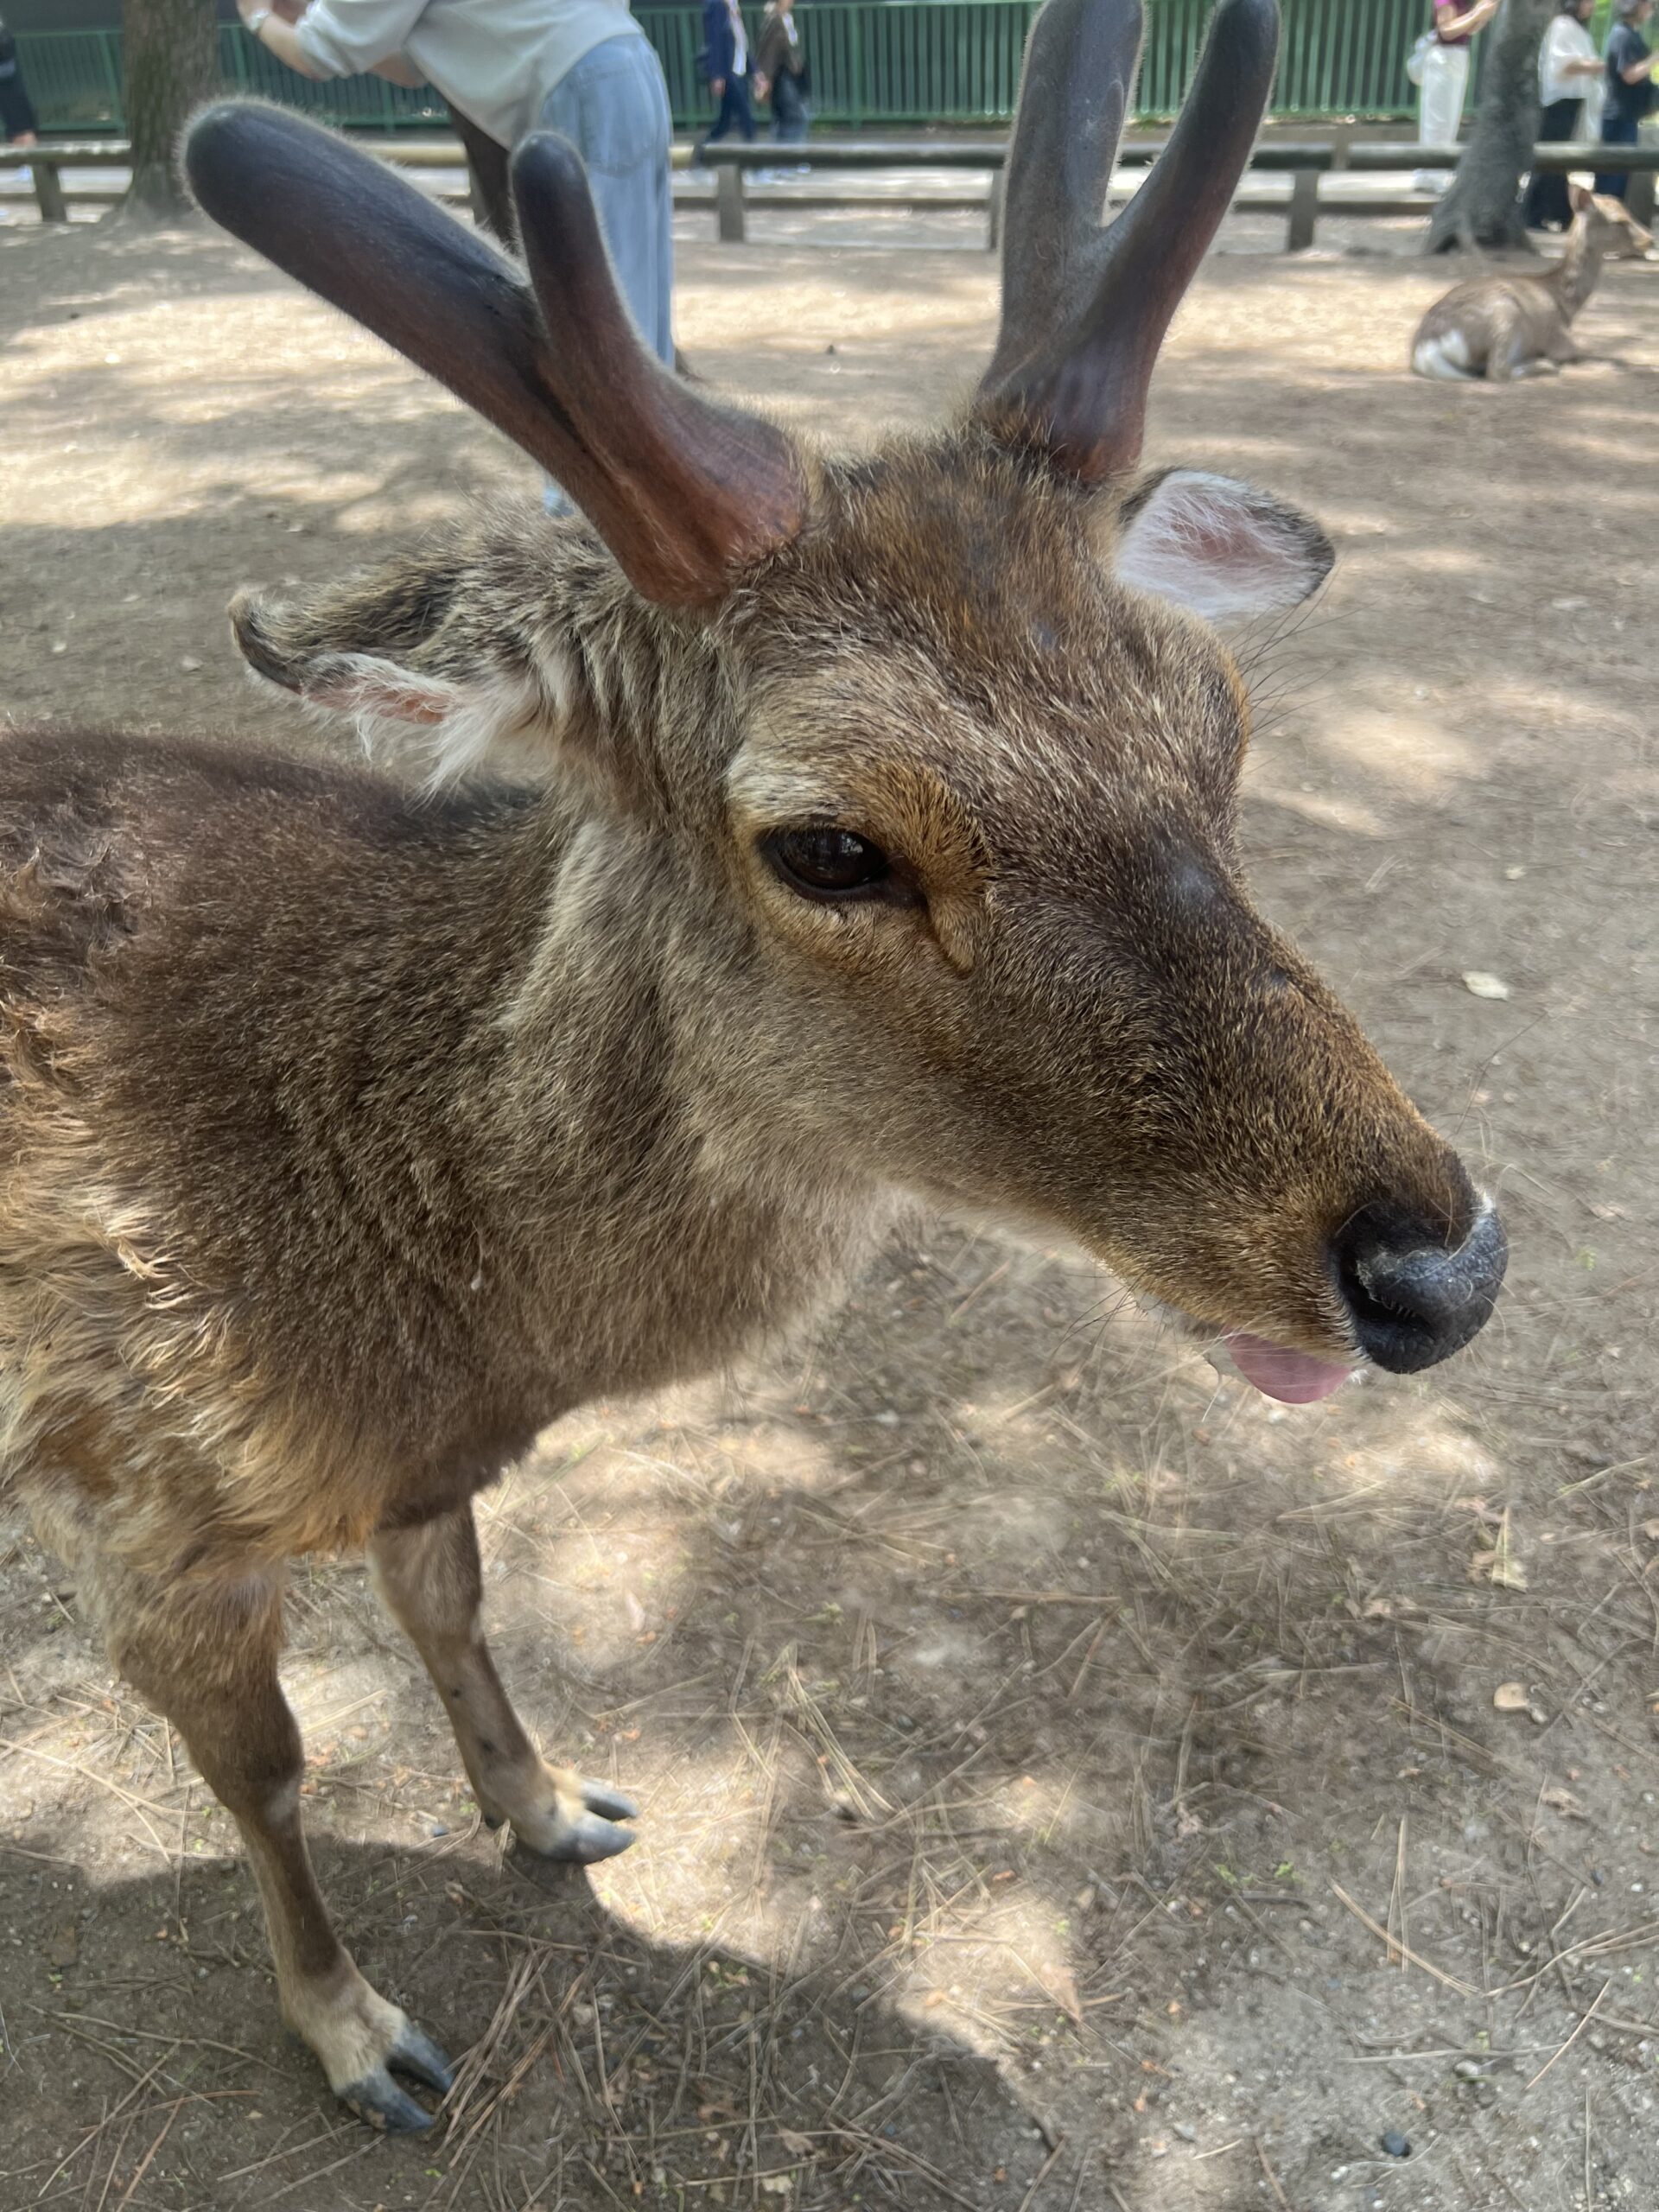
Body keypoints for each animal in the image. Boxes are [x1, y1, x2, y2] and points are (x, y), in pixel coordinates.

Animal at [0, 0, 1506, 2135]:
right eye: (831, 844)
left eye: (1222, 725)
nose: (1439, 1264)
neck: (404, 1334)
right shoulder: (119, 1504)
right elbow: (270, 1774)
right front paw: (366, 2037)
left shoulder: (421, 1475)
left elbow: (459, 1609)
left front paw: (556, 1805)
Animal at [1412, 181, 1653, 381]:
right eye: (1618, 220)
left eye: (1627, 211)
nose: (1649, 240)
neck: (1564, 305)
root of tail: (1425, 349)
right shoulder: (1559, 339)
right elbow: (1594, 354)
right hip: (1504, 316)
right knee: (1496, 371)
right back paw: (1543, 365)